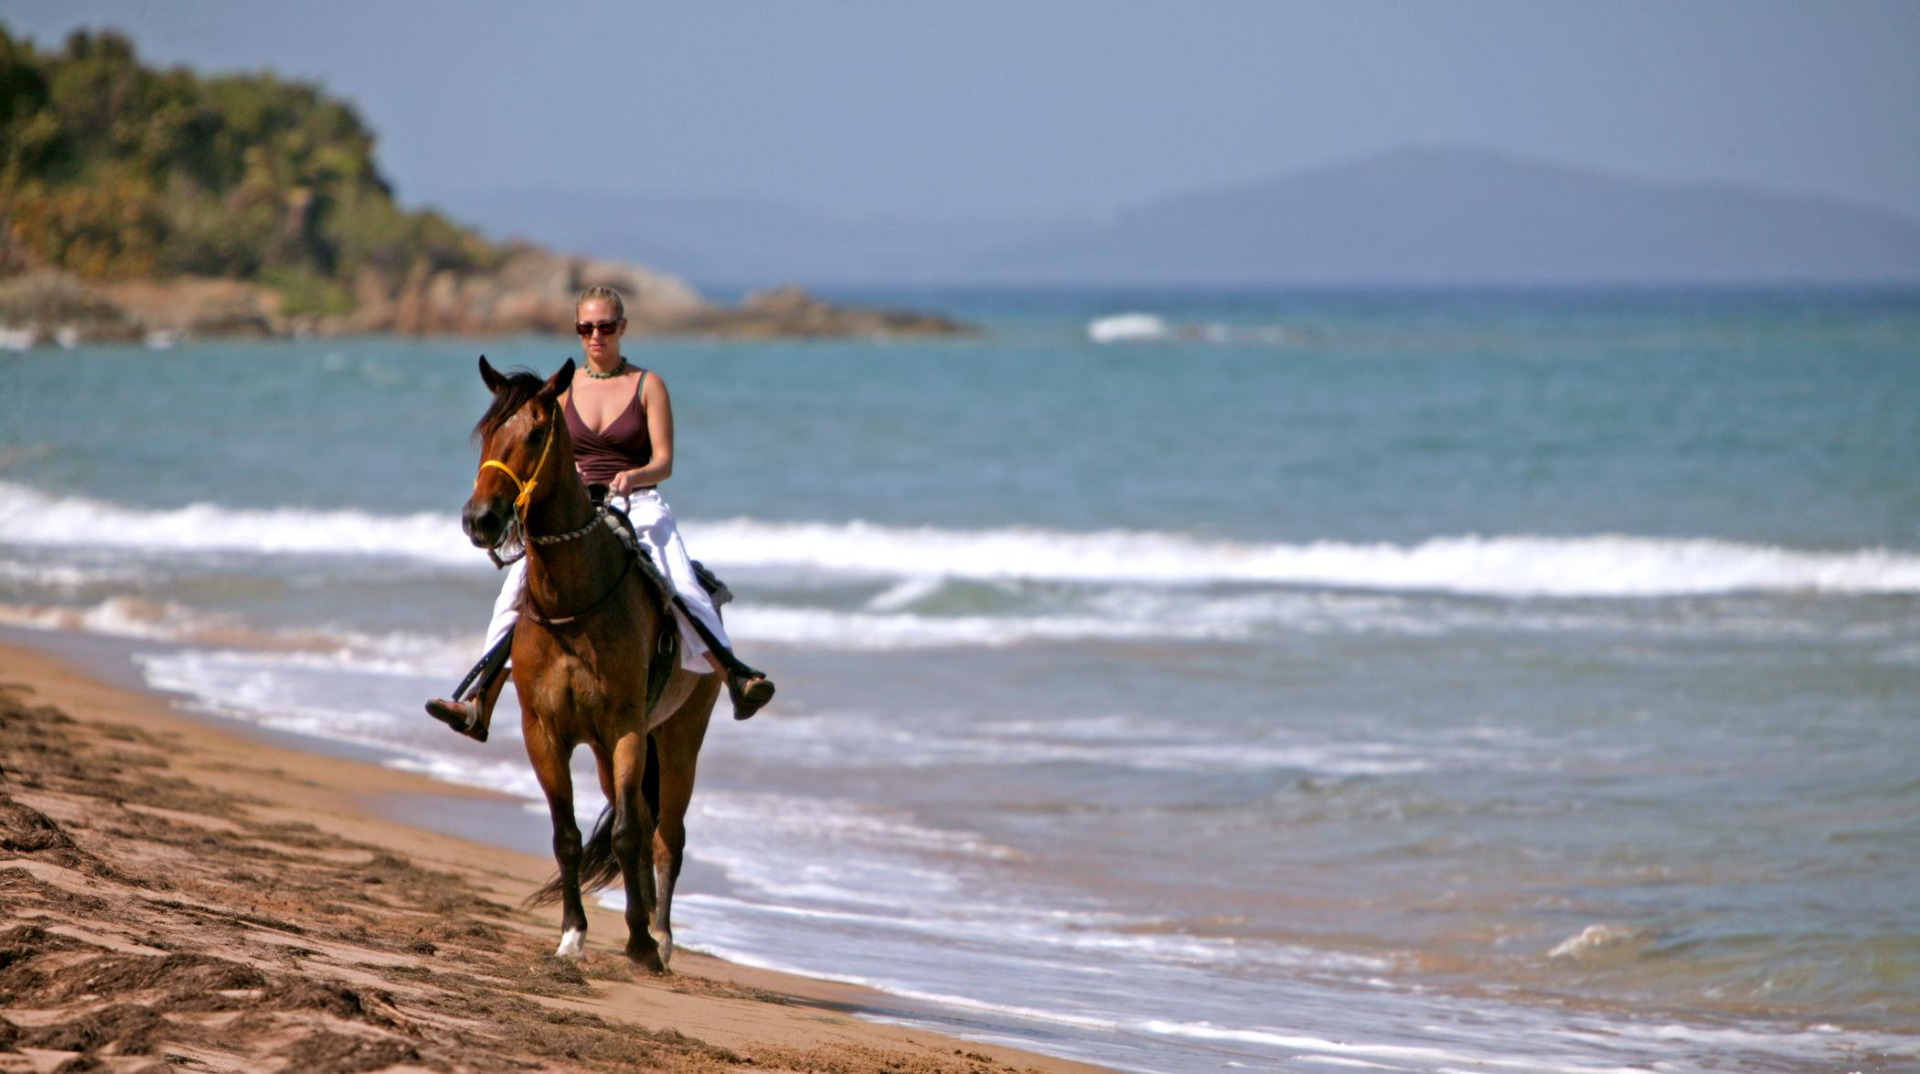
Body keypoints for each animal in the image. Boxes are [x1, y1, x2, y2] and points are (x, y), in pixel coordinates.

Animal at [460, 355, 720, 972]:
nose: (480, 520)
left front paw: (640, 943)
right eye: (486, 433)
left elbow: (625, 835)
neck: (573, 602)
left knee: (666, 833)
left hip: (678, 738)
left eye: (535, 433)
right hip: (609, 751)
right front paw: (573, 935)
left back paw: (661, 936)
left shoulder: (626, 727)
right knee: (645, 823)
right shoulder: (545, 733)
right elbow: (568, 836)